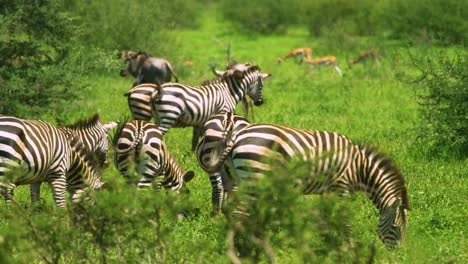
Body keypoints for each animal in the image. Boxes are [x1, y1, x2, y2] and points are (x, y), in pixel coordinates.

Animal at [197, 112, 410, 249]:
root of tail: (236, 134)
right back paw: (243, 247)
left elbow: (327, 218)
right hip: (254, 178)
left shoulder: (328, 191)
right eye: (396, 228)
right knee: (239, 213)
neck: (359, 167)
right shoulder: (342, 189)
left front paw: (328, 241)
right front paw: (349, 247)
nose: (400, 254)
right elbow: (345, 219)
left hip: (239, 177)